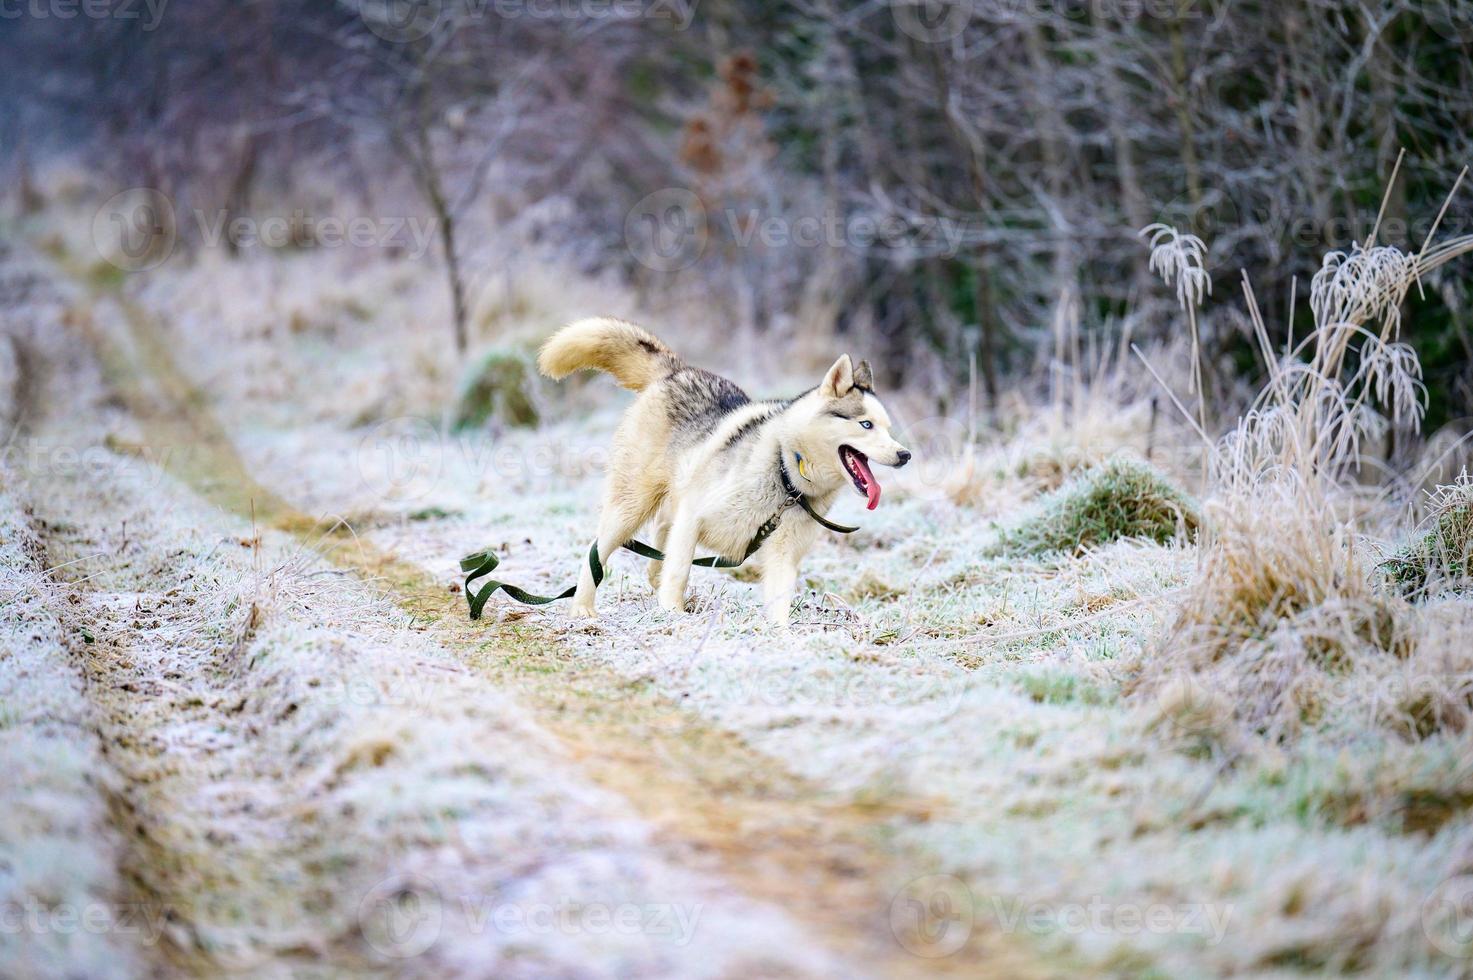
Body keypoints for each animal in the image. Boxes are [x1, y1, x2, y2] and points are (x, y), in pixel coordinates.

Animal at [539, 316, 907, 621]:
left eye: (889, 429)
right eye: (866, 424)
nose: (905, 455)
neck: (787, 478)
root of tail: (677, 371)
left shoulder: (783, 555)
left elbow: (779, 602)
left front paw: (783, 639)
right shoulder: (693, 517)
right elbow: (679, 571)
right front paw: (672, 613)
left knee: (660, 533)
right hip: (630, 506)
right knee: (597, 553)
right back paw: (583, 608)